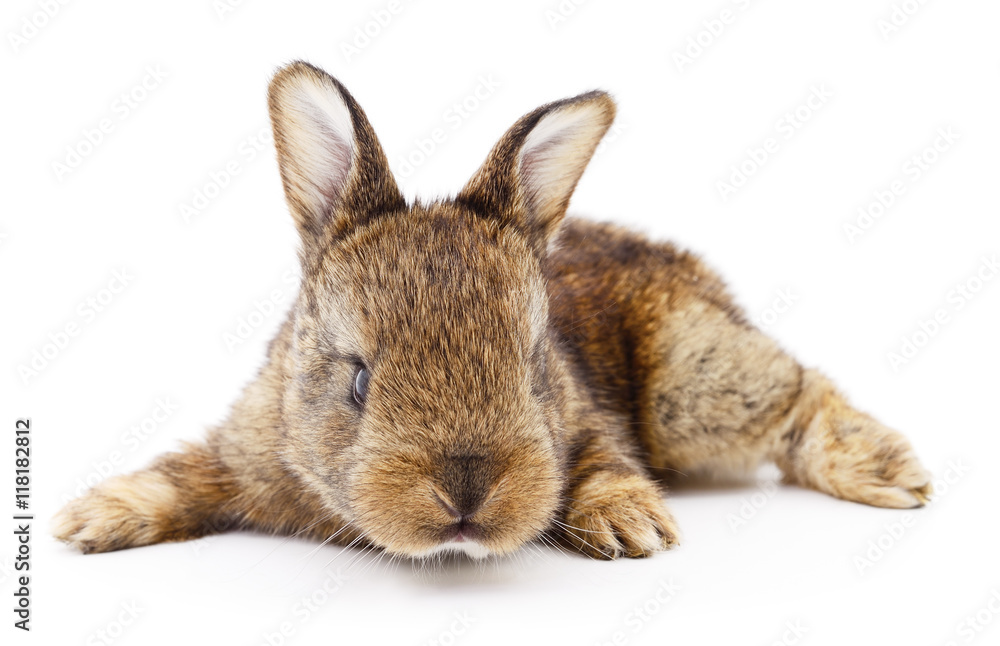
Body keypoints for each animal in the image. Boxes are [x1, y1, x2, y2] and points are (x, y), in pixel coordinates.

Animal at [53, 61, 932, 560]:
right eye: (359, 381)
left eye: (535, 366)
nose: (466, 492)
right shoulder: (243, 451)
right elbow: (183, 475)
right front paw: (90, 520)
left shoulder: (592, 428)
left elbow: (605, 466)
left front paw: (632, 527)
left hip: (693, 388)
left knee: (801, 391)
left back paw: (890, 473)